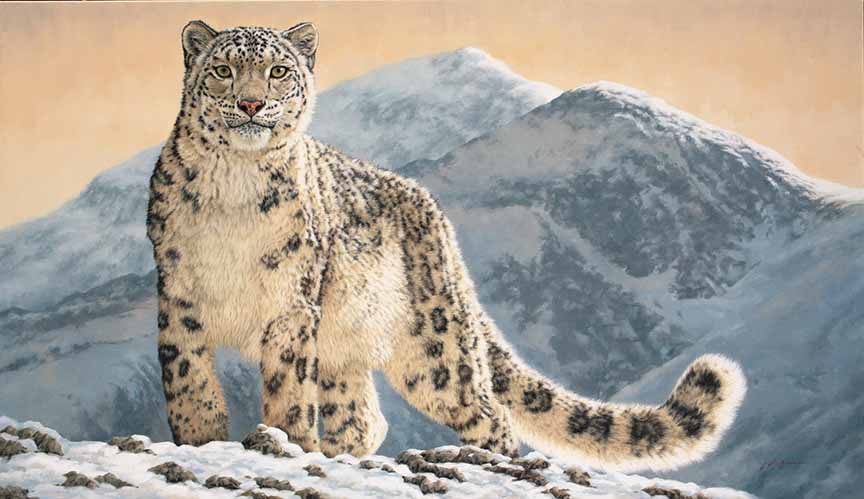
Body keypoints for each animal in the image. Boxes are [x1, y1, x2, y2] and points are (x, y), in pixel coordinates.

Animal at [146, 20, 747, 471]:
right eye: (222, 70)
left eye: (278, 71)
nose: (251, 104)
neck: (235, 187)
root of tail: (440, 224)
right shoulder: (178, 296)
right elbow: (189, 382)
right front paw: (200, 442)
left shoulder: (293, 305)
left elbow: (288, 385)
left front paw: (285, 442)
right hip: (345, 345)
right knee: (362, 416)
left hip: (435, 352)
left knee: (488, 414)